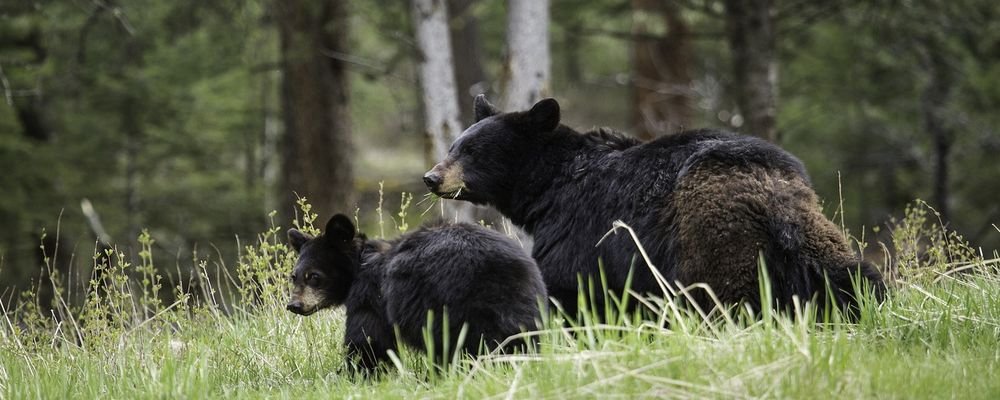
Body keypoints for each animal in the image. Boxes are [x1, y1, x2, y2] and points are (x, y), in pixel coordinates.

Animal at [286, 214, 544, 374]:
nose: (294, 305)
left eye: (314, 276)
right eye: (294, 276)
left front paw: (352, 373)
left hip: (449, 305)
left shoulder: (371, 296)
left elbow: (368, 341)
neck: (361, 264)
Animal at [422, 96, 884, 318]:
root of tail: (772, 195)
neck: (548, 188)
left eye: (474, 151)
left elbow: (568, 284)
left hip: (713, 239)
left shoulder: (580, 226)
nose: (432, 177)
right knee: (853, 276)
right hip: (814, 237)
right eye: (453, 146)